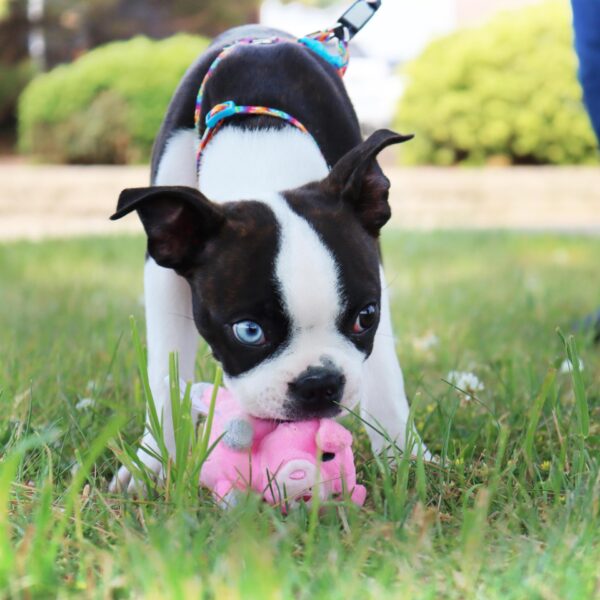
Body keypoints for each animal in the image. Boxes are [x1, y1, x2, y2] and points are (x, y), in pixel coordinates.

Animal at [110, 24, 424, 492]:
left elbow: (385, 374)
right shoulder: (162, 274)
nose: (320, 383)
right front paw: (152, 464)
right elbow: (166, 371)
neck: (259, 148)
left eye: (365, 318)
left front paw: (406, 461)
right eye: (249, 331)